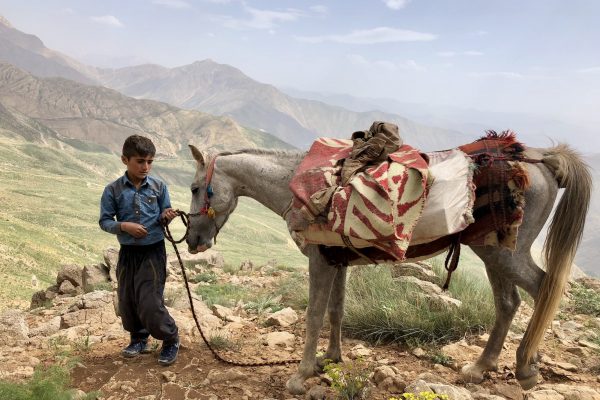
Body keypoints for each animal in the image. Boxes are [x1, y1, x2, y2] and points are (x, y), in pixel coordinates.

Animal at [186, 141, 592, 394]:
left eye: (193, 188)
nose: (192, 242)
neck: (302, 186)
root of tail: (540, 159)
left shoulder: (320, 261)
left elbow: (314, 315)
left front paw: (300, 376)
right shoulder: (337, 262)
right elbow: (336, 310)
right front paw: (329, 360)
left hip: (505, 254)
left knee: (542, 290)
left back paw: (525, 366)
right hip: (494, 250)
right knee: (509, 303)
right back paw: (484, 367)